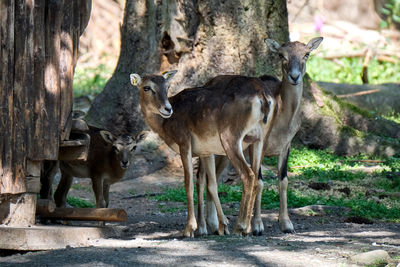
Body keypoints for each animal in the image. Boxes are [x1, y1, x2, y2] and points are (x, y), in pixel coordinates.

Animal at [131, 70, 278, 237]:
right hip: (260, 139)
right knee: (258, 179)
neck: (165, 125)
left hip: (230, 138)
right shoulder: (207, 151)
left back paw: (240, 227)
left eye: (167, 86)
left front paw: (189, 229)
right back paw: (249, 228)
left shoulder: (184, 142)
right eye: (147, 87)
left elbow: (188, 183)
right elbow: (211, 184)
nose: (167, 109)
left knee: (248, 175)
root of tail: (263, 98)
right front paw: (222, 226)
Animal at [198, 36, 324, 236]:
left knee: (214, 177)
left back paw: (215, 225)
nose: (294, 76)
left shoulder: (286, 146)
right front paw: (256, 226)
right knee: (201, 177)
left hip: (223, 151)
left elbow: (283, 180)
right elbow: (259, 181)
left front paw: (286, 224)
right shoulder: (256, 145)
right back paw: (203, 227)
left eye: (306, 54)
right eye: (281, 55)